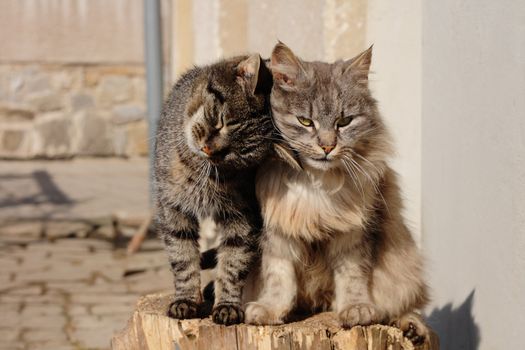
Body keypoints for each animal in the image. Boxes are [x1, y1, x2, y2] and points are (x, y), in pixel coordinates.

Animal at [154, 54, 272, 326]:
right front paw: (185, 300)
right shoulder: (172, 206)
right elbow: (182, 257)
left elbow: (233, 262)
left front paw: (227, 305)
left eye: (238, 153)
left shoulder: (244, 215)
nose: (210, 149)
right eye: (220, 122)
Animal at [246, 43, 430, 344]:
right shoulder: (278, 232)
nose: (327, 146)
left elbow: (352, 278)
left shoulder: (354, 234)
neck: (317, 185)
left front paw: (356, 309)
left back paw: (412, 329)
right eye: (305, 121)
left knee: (401, 307)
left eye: (344, 121)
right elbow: (279, 278)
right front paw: (270, 310)